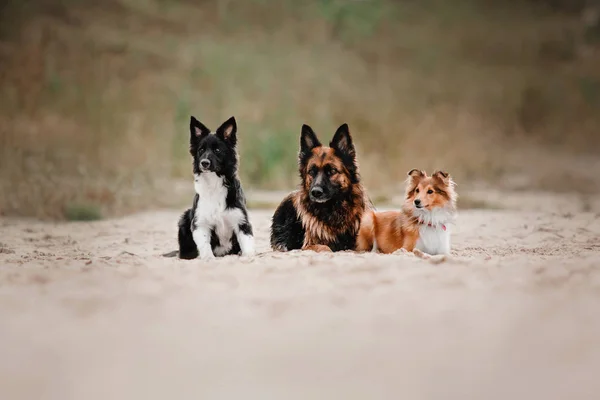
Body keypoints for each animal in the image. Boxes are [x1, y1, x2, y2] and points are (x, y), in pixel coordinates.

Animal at [268, 123, 370, 252]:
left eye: (332, 171)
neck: (332, 210)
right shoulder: (310, 245)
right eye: (311, 171)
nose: (316, 192)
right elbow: (325, 248)